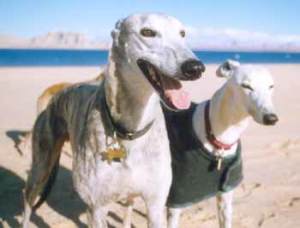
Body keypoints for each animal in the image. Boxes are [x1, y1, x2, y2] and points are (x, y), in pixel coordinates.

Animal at [21, 12, 204, 228]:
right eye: (147, 32)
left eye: (183, 33)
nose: (195, 67)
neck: (132, 130)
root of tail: (56, 95)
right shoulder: (97, 207)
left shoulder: (155, 204)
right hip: (40, 167)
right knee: (28, 198)